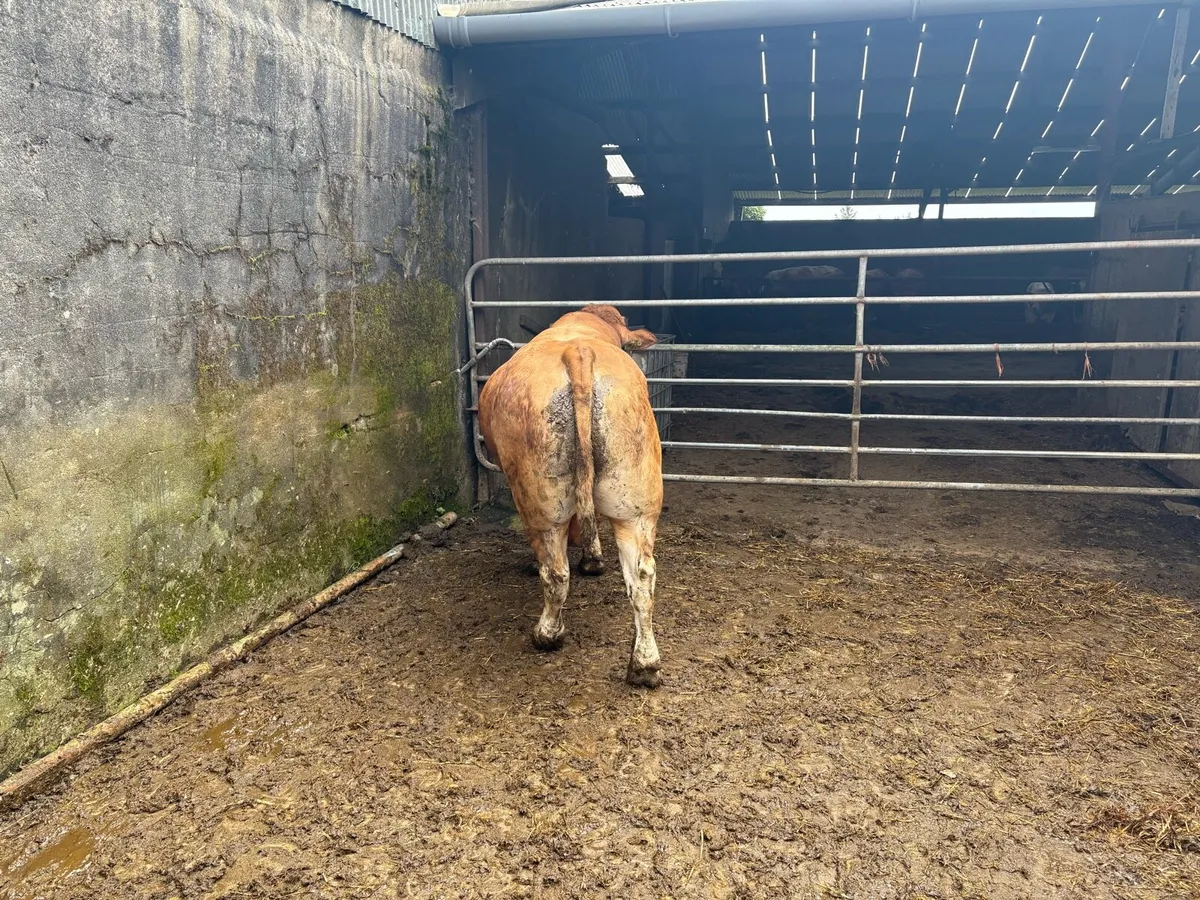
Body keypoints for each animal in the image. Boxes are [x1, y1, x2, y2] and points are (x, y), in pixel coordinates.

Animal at [478, 304, 665, 687]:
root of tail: (577, 352)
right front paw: (593, 558)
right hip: (635, 502)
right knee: (642, 578)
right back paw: (644, 665)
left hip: (542, 500)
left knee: (555, 573)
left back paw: (547, 633)